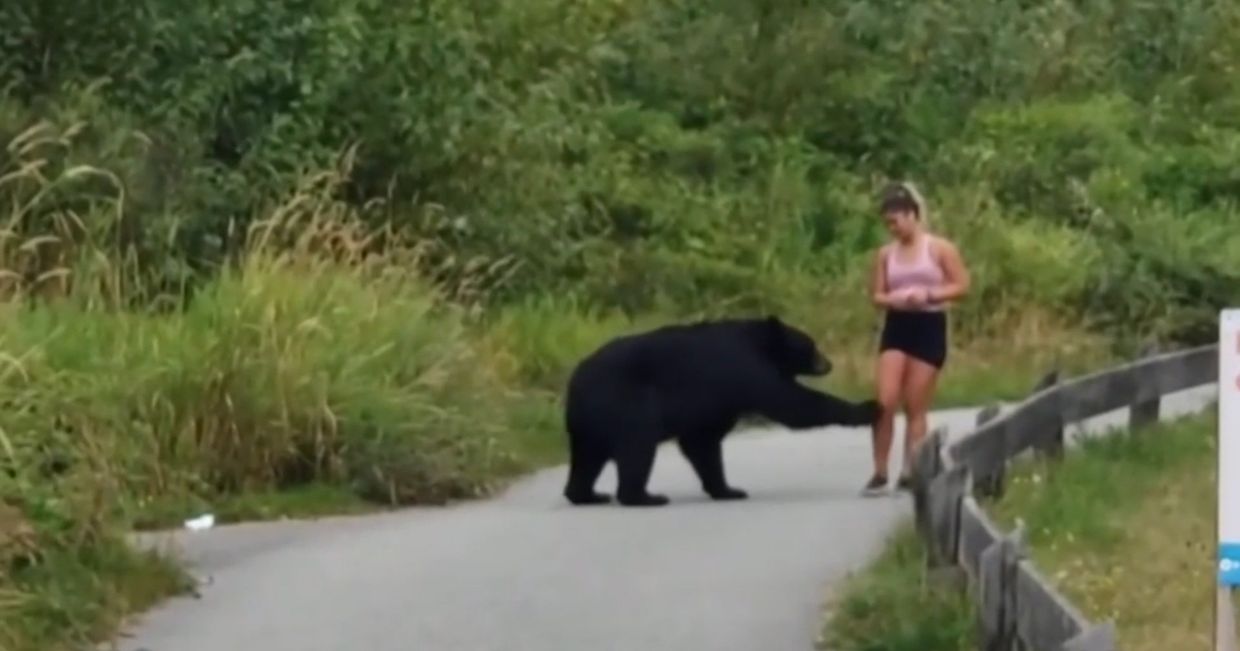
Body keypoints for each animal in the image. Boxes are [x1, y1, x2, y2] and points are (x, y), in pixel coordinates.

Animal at [561, 315, 881, 507]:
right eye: (811, 345)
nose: (828, 364)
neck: (759, 342)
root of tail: (575, 382)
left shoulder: (716, 400)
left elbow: (703, 442)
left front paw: (728, 490)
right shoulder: (744, 369)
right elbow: (793, 405)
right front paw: (868, 408)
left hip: (590, 422)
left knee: (587, 458)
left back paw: (587, 494)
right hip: (626, 404)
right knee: (637, 446)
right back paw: (644, 496)